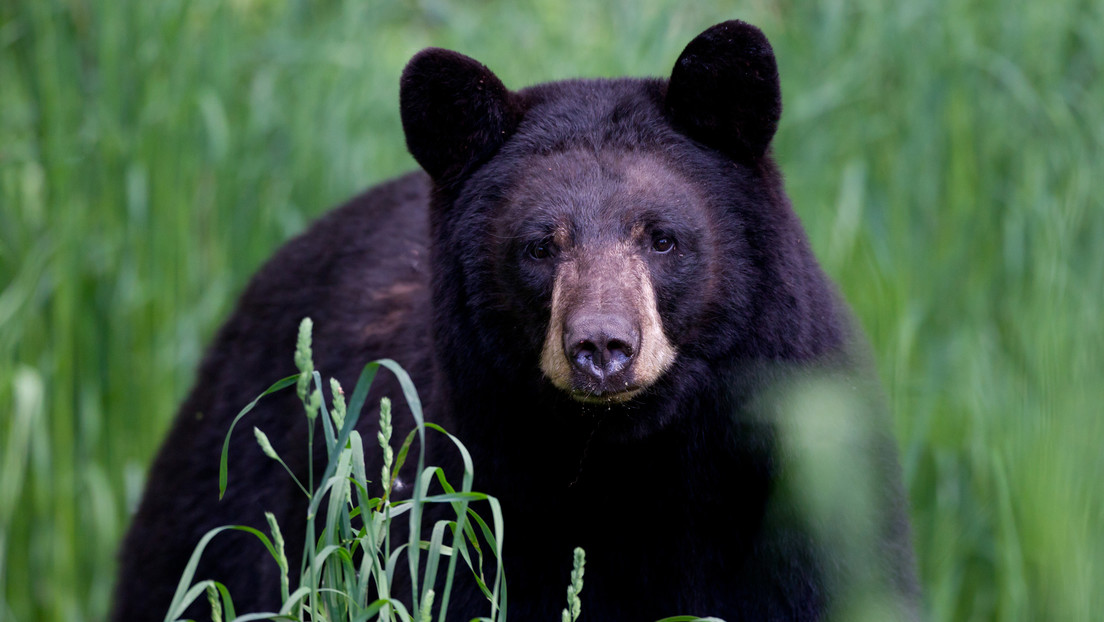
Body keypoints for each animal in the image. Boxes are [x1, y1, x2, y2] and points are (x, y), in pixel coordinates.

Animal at [112, 20, 920, 621]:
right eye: (539, 245)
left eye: (662, 237)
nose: (602, 347)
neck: (628, 470)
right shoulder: (471, 511)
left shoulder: (803, 511)